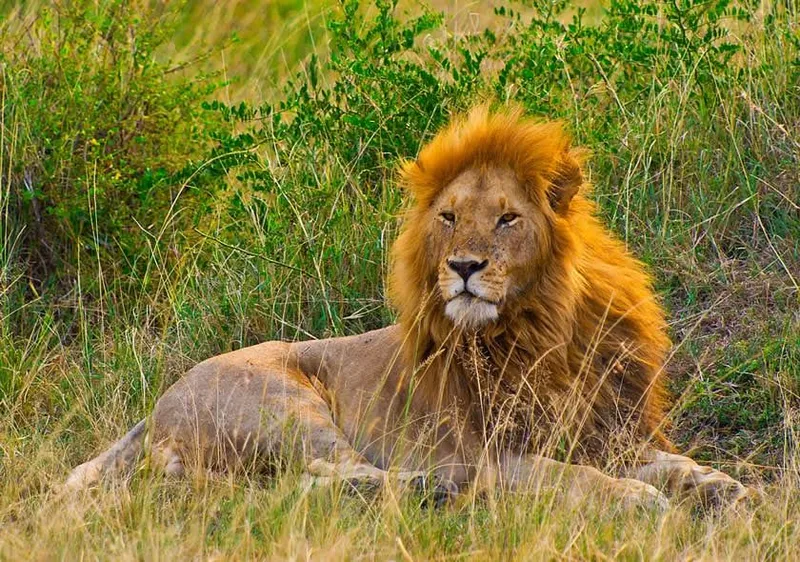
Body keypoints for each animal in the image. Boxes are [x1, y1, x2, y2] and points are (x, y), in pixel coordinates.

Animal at [66, 105, 748, 509]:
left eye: (507, 219)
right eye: (447, 217)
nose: (465, 268)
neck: (542, 330)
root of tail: (158, 403)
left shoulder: (604, 428)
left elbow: (667, 459)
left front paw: (715, 483)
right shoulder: (491, 453)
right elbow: (570, 476)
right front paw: (638, 498)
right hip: (283, 405)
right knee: (332, 472)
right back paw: (429, 487)